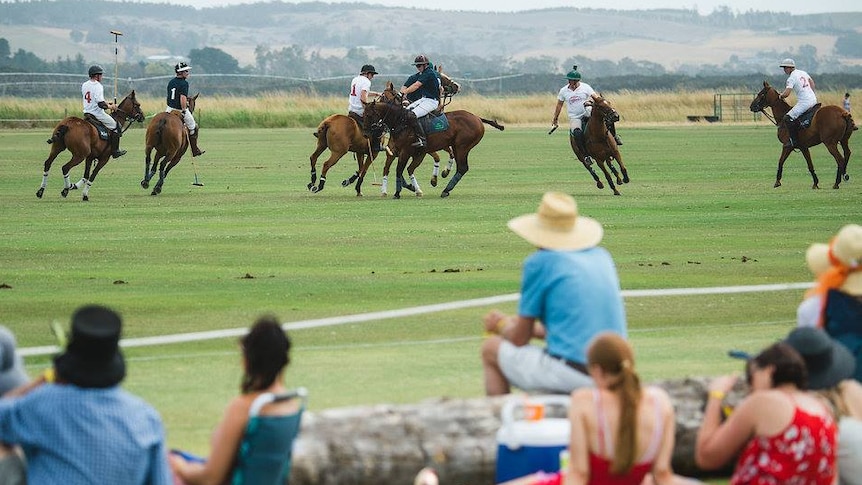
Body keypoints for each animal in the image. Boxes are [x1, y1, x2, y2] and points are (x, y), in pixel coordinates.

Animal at [362, 92, 506, 199]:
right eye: (363, 114)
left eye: (369, 115)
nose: (365, 134)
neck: (400, 122)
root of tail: (477, 118)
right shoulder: (396, 152)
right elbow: (393, 169)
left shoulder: (406, 152)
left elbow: (399, 170)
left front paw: (397, 193)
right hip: (455, 146)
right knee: (459, 166)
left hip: (462, 147)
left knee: (462, 167)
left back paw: (446, 189)